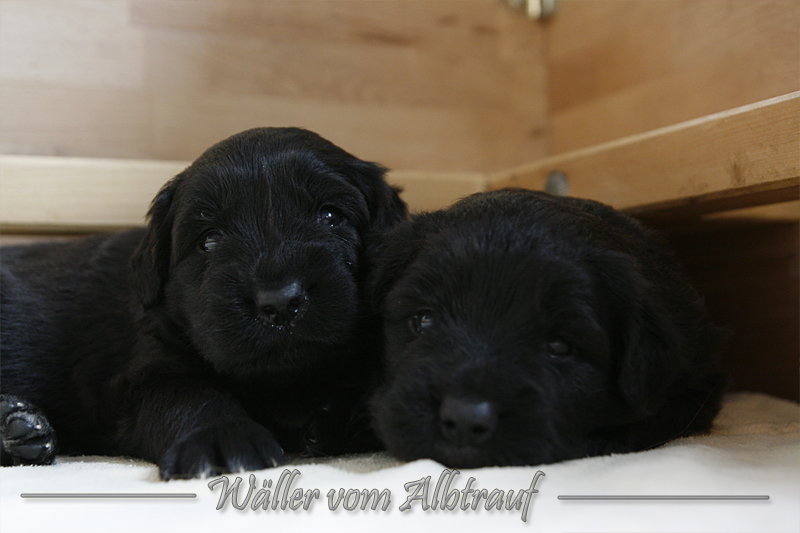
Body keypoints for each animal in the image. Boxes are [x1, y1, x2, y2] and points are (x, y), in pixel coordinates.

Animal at [0, 127, 405, 478]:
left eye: (331, 216)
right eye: (209, 240)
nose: (279, 301)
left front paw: (339, 416)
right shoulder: (141, 377)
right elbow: (190, 394)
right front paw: (222, 437)